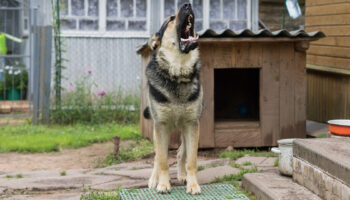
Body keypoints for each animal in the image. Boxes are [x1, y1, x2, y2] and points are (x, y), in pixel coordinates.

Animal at [144, 2, 201, 194]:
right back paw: (154, 179)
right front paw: (162, 184)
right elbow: (162, 160)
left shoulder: (192, 124)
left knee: (181, 152)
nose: (188, 4)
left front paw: (193, 184)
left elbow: (191, 160)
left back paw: (183, 176)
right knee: (157, 156)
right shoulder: (161, 126)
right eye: (170, 19)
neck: (178, 72)